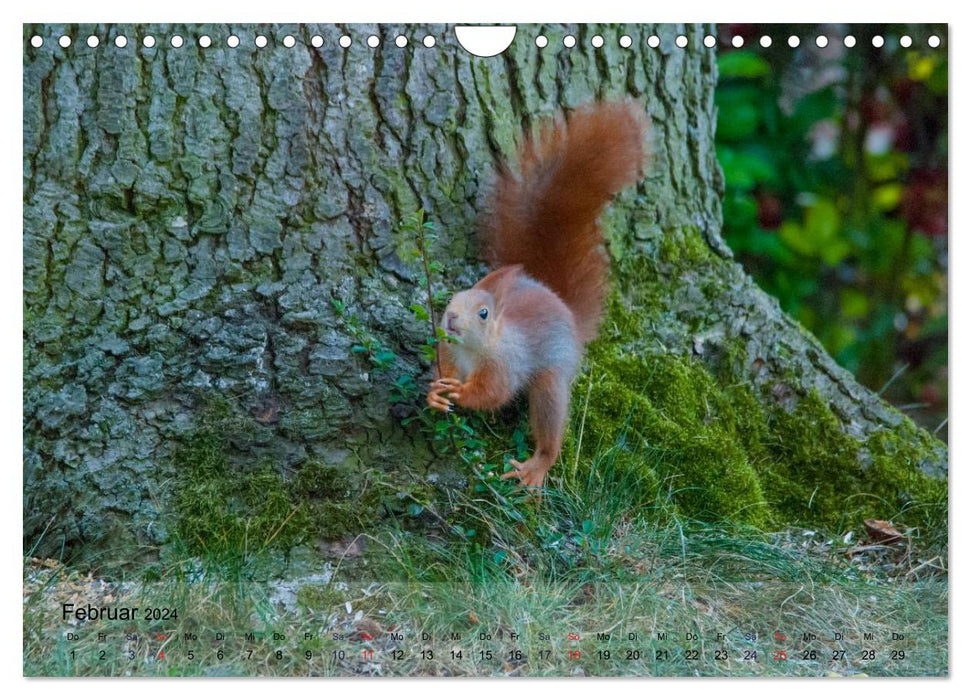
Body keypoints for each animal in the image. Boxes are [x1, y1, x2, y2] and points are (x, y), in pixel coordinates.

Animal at [428, 101, 648, 490]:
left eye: (484, 313)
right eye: (455, 296)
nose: (451, 318)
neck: (473, 351)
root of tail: (570, 315)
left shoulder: (505, 366)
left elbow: (493, 394)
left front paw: (462, 394)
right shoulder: (447, 352)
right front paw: (434, 394)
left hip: (552, 378)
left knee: (550, 426)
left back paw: (536, 467)